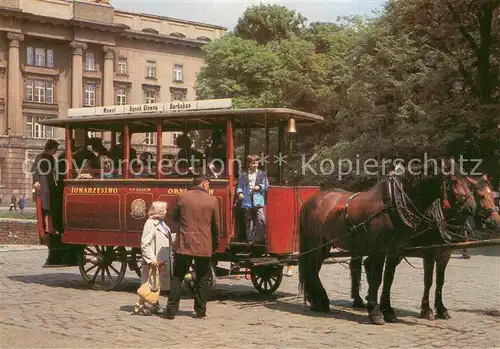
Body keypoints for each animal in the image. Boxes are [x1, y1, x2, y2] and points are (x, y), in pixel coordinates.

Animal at [298, 160, 474, 324]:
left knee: (317, 268)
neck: (394, 204)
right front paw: (376, 312)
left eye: (466, 179)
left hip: (325, 245)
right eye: (453, 180)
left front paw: (388, 310)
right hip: (315, 243)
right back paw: (321, 301)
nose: (471, 207)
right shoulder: (385, 250)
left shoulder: (397, 250)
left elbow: (390, 279)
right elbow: (379, 278)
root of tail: (311, 201)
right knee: (313, 267)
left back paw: (318, 299)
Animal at [350, 177, 498, 320]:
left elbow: (440, 281)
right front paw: (427, 310)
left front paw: (441, 309)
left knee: (367, 263)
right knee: (356, 264)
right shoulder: (429, 253)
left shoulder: (445, 255)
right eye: (481, 196)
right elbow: (428, 281)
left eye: (492, 194)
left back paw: (366, 296)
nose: (496, 221)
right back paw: (358, 298)